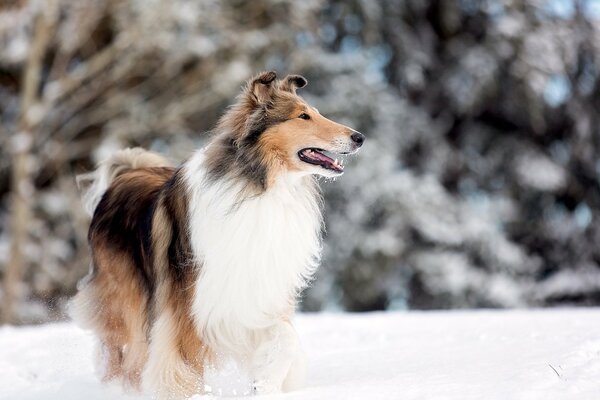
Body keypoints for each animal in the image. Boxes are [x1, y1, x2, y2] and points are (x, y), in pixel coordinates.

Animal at [68, 71, 364, 396]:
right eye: (303, 116)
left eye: (314, 112)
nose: (359, 137)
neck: (260, 187)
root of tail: (126, 173)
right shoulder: (188, 306)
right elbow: (185, 364)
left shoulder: (255, 295)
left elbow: (285, 338)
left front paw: (266, 384)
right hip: (126, 301)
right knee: (123, 355)